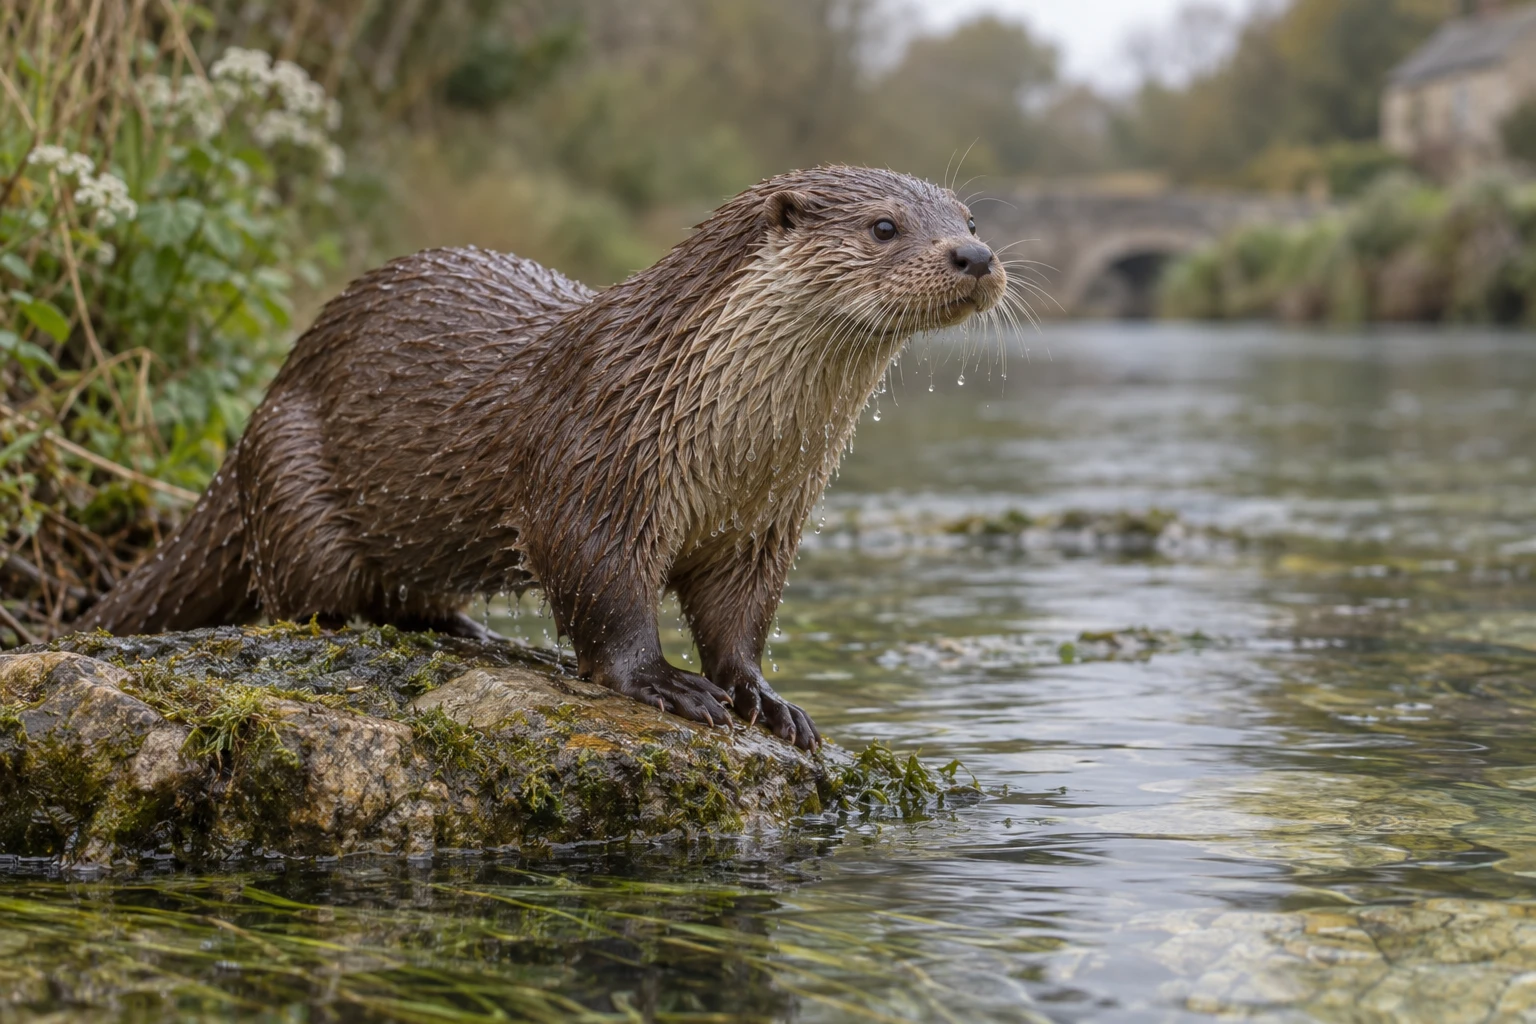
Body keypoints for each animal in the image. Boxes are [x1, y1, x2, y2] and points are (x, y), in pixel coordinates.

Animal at [80, 165, 1006, 748]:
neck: (730, 444)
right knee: (303, 599)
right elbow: (603, 590)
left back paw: (466, 625)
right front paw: (663, 684)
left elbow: (740, 621)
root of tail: (259, 412)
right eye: (884, 226)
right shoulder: (594, 469)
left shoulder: (762, 524)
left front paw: (767, 701)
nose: (977, 256)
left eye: (969, 220)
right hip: (292, 470)